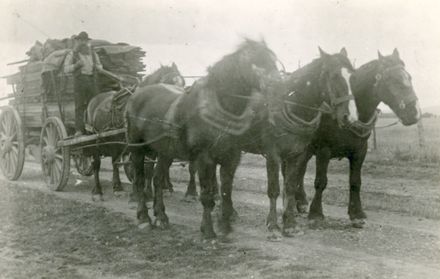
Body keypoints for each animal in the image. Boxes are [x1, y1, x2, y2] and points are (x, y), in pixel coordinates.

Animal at [83, 63, 185, 201]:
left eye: (183, 85)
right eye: (168, 86)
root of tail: (93, 100)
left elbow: (150, 168)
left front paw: (148, 192)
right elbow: (141, 167)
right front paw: (140, 193)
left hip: (115, 141)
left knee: (114, 161)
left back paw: (118, 188)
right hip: (94, 138)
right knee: (96, 163)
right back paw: (97, 191)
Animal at [125, 38, 280, 238]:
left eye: (273, 60)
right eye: (256, 61)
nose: (278, 85)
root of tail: (136, 95)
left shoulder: (231, 158)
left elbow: (226, 192)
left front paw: (224, 225)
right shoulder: (204, 158)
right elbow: (207, 195)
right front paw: (208, 231)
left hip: (165, 152)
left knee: (158, 179)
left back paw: (161, 216)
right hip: (137, 148)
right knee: (139, 179)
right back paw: (143, 217)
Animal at [294, 48, 422, 228]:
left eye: (409, 77)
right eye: (391, 79)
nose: (414, 113)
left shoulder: (360, 151)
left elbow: (355, 182)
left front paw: (356, 214)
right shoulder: (323, 150)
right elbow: (321, 181)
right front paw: (316, 214)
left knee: (300, 170)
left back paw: (300, 202)